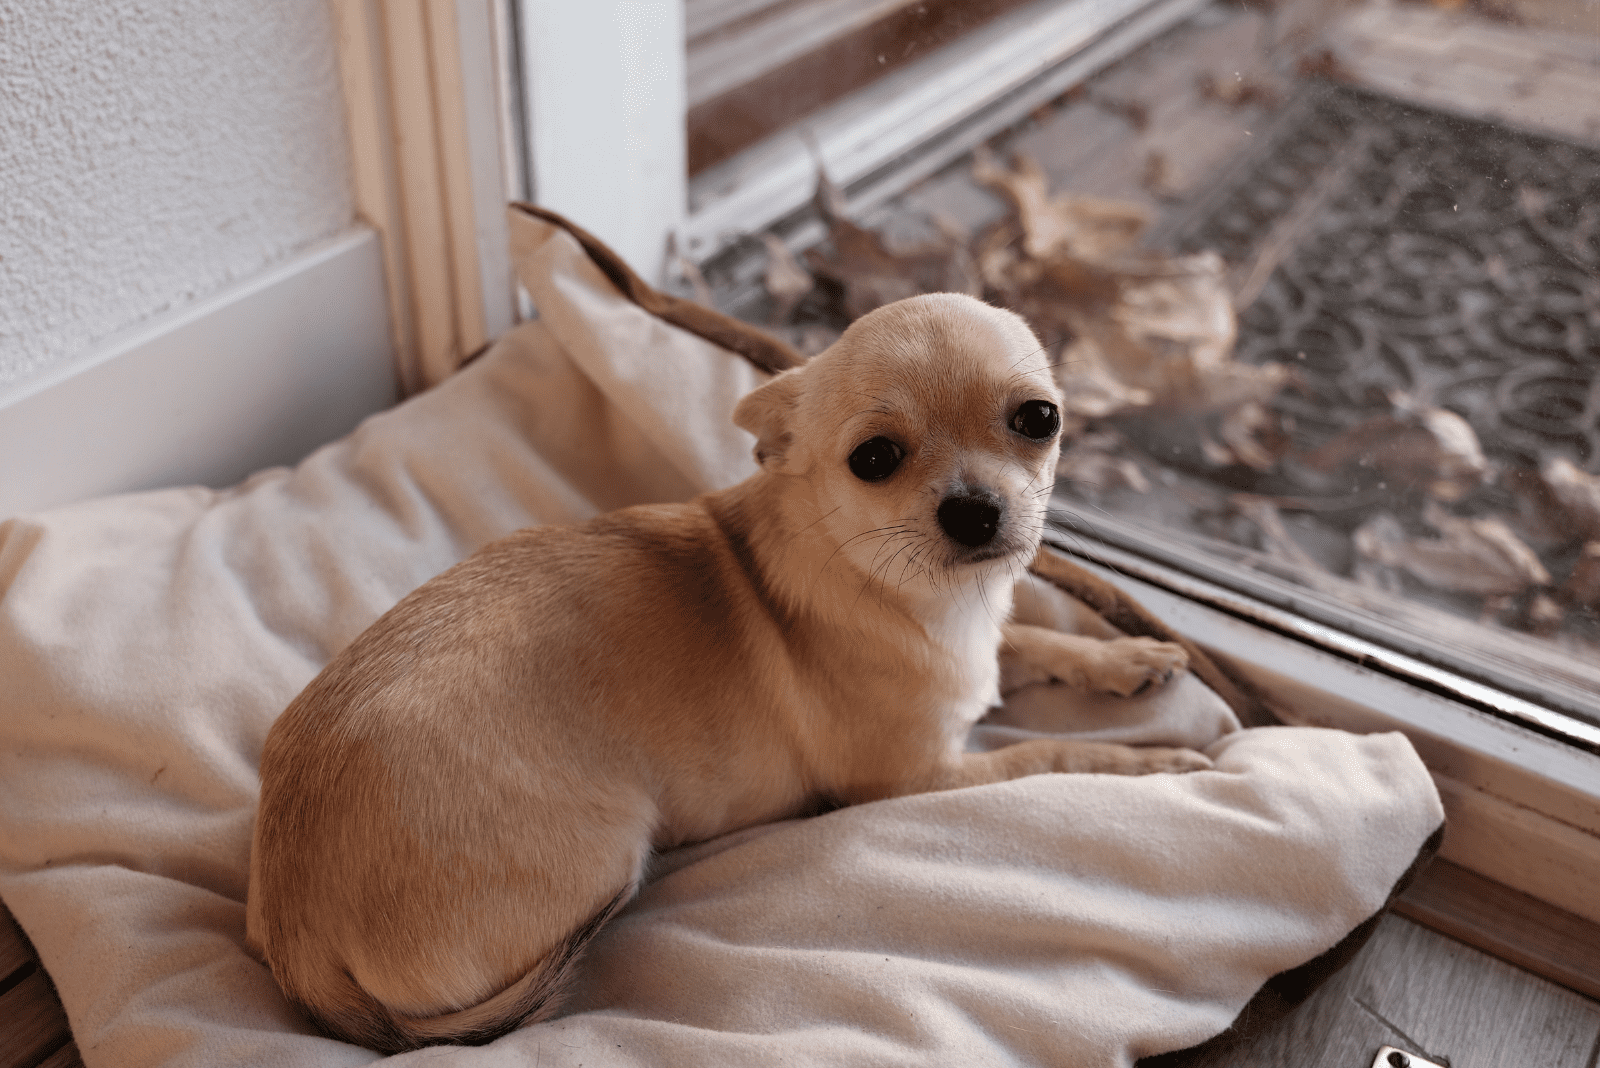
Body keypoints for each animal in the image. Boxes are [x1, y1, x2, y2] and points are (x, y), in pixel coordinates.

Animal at [246, 289, 1203, 1048]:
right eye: (875, 459)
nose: (974, 511)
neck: (924, 602)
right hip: (610, 848)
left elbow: (1031, 642)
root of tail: (296, 937)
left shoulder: (986, 650)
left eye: (1038, 419)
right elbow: (1049, 754)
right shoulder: (912, 780)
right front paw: (1151, 762)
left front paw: (1121, 654)